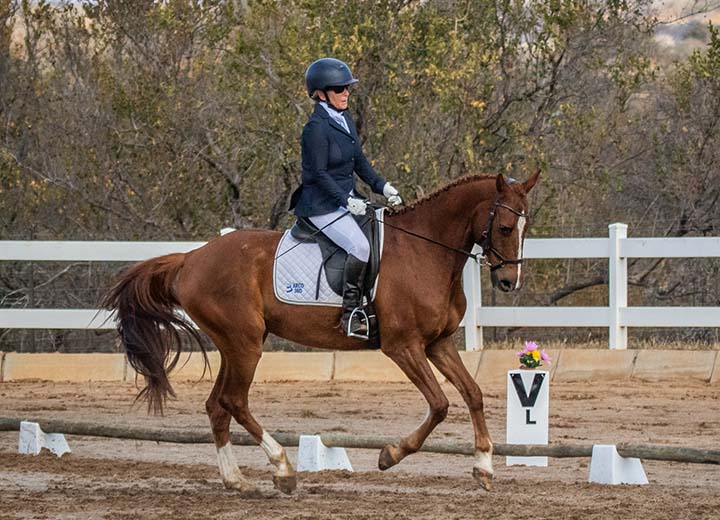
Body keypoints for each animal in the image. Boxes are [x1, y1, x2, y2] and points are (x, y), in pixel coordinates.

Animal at [102, 171, 540, 494]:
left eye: (525, 227)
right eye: (504, 227)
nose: (509, 282)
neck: (426, 252)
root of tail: (191, 257)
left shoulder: (438, 343)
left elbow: (473, 394)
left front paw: (484, 467)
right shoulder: (403, 347)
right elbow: (440, 404)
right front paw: (391, 454)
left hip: (236, 344)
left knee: (217, 406)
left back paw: (236, 480)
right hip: (244, 344)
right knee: (233, 401)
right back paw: (282, 469)